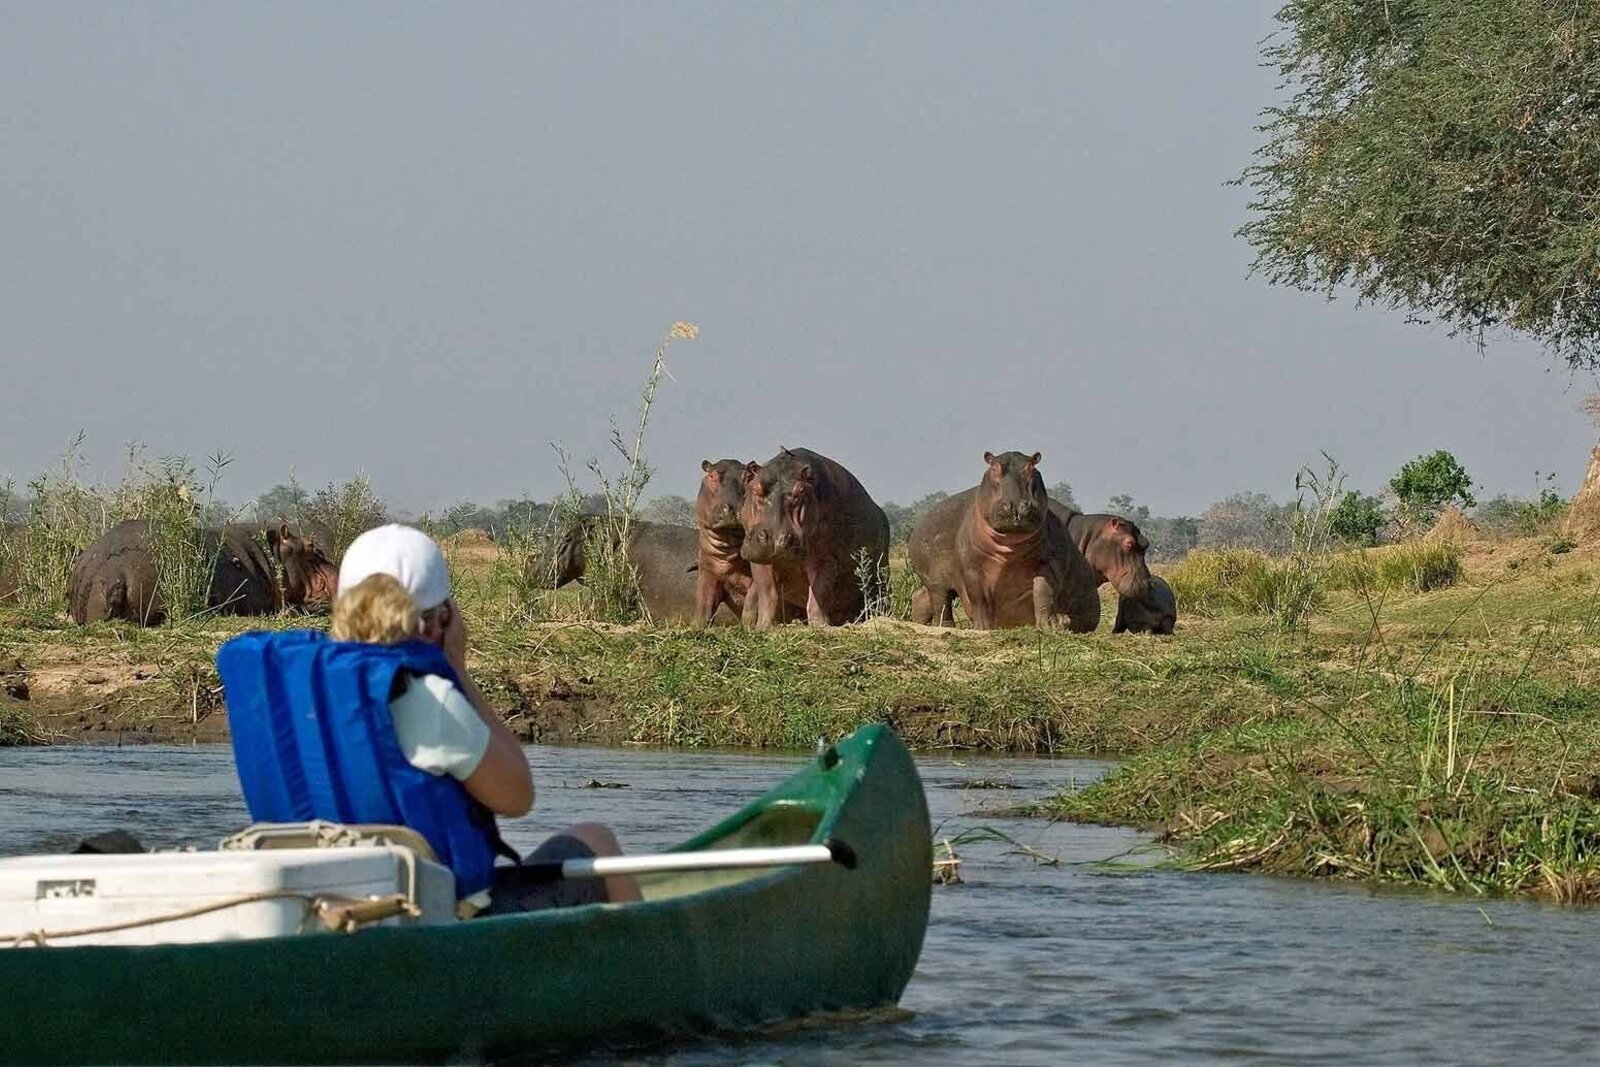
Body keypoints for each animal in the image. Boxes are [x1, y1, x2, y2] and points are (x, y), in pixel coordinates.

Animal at [739, 447, 890, 628]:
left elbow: (819, 593)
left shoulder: (826, 557)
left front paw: (821, 626)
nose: (777, 539)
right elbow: (767, 592)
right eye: (755, 489)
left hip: (881, 580)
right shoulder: (759, 558)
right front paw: (763, 627)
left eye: (801, 492)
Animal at [908, 451, 1099, 631]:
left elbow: (1044, 591)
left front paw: (1050, 625)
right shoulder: (972, 568)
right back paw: (945, 626)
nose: (1016, 506)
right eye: (994, 468)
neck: (1010, 544)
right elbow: (978, 597)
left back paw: (1063, 620)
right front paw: (982, 628)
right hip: (935, 580)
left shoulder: (1049, 563)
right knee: (941, 600)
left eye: (1032, 467)